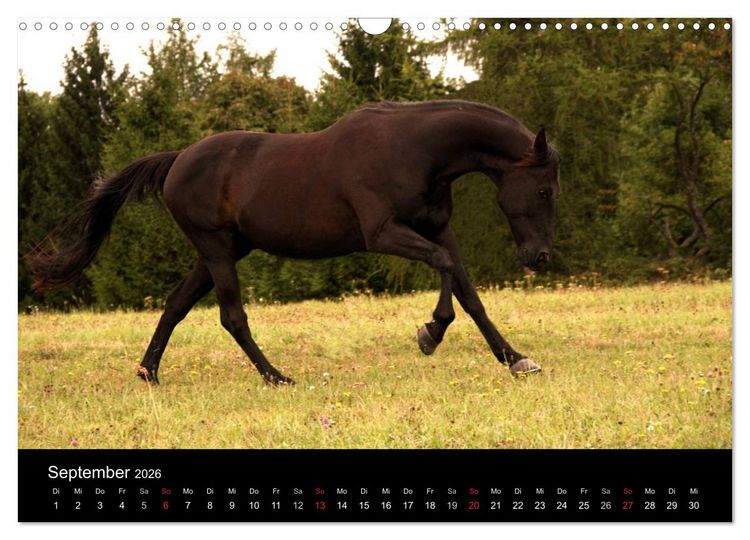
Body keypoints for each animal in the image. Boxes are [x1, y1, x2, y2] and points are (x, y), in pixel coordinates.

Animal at [29, 100, 561, 386]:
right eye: (543, 190)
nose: (540, 257)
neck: (413, 150)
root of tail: (178, 159)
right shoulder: (384, 233)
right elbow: (445, 268)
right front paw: (429, 332)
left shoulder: (436, 228)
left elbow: (470, 293)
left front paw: (516, 360)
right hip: (217, 250)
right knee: (232, 317)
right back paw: (276, 377)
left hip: (221, 251)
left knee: (176, 304)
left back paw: (149, 374)